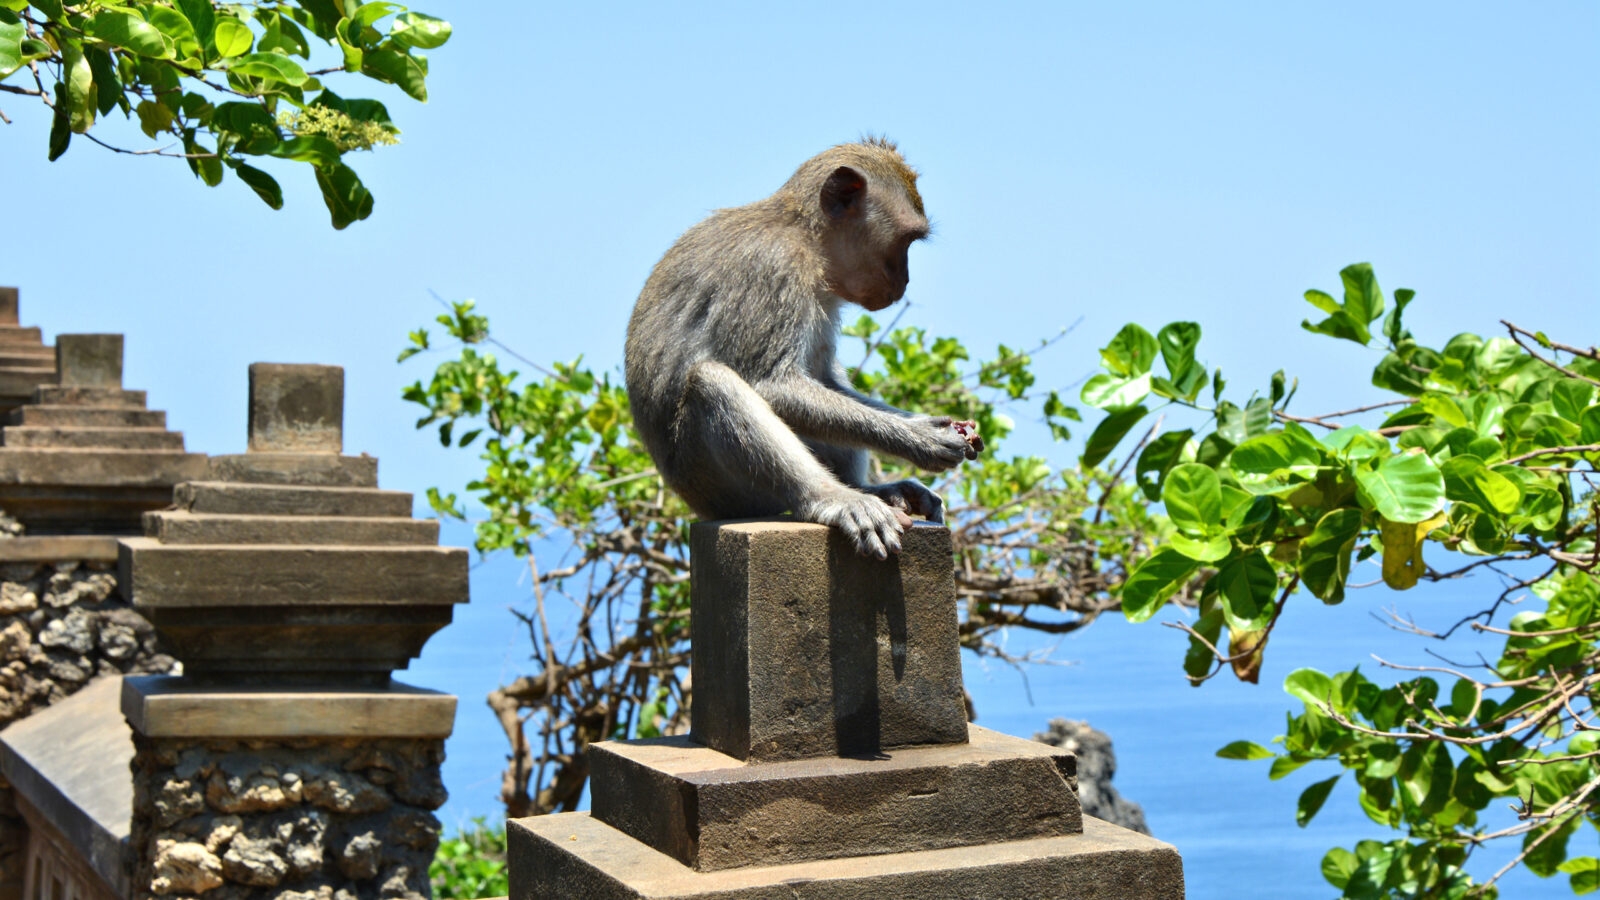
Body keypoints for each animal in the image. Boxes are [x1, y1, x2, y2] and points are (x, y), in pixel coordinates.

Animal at [624, 139, 981, 560]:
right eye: (906, 240)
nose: (905, 281)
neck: (806, 237)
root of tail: (695, 503)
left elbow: (824, 378)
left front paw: (920, 424)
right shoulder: (772, 269)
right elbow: (771, 385)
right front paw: (921, 439)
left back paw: (872, 490)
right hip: (715, 485)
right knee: (712, 384)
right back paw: (832, 498)